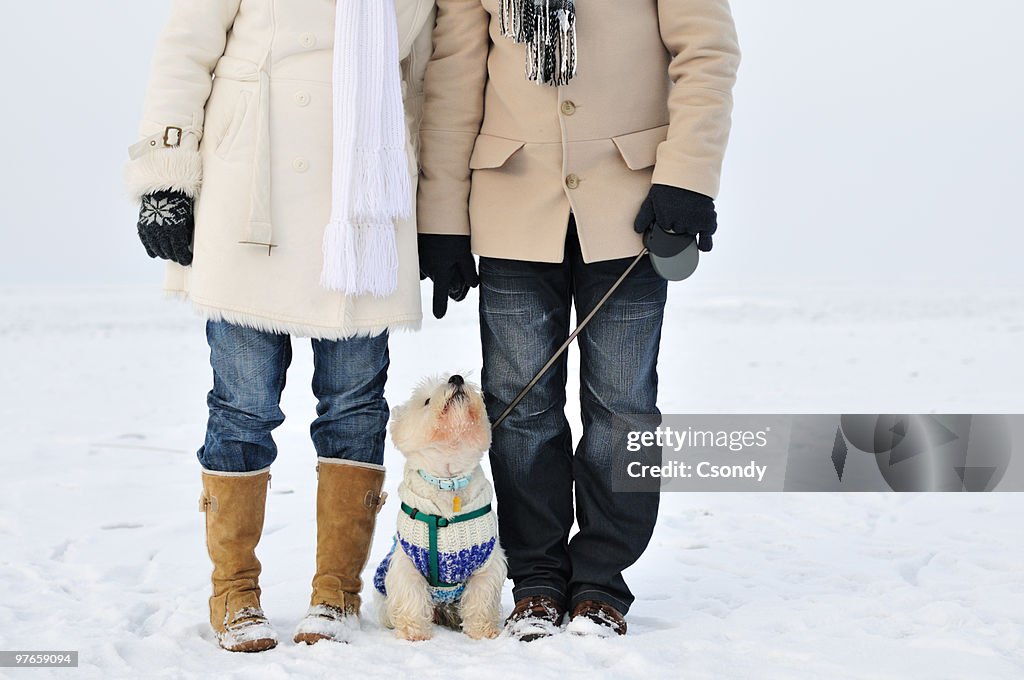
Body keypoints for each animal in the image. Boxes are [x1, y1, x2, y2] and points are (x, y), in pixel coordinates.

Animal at [374, 374, 505, 639]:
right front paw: (414, 634)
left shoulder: (487, 562)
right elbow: (411, 597)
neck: (449, 480)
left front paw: (483, 632)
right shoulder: (407, 563)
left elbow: (481, 598)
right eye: (426, 401)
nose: (456, 378)